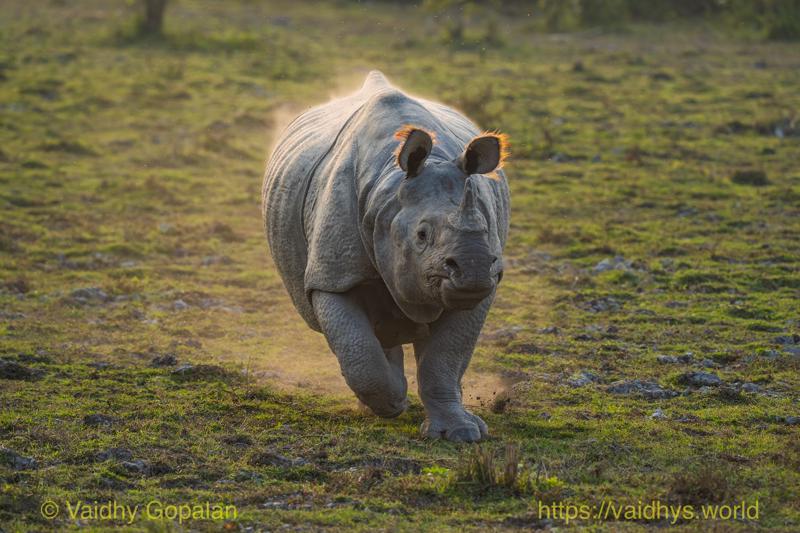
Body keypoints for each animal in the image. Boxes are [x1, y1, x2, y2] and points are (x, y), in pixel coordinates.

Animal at [262, 70, 509, 442]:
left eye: (484, 227)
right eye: (421, 236)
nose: (474, 268)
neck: (388, 189)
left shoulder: (480, 290)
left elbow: (446, 358)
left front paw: (463, 433)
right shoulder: (332, 275)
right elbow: (358, 350)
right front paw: (392, 402)